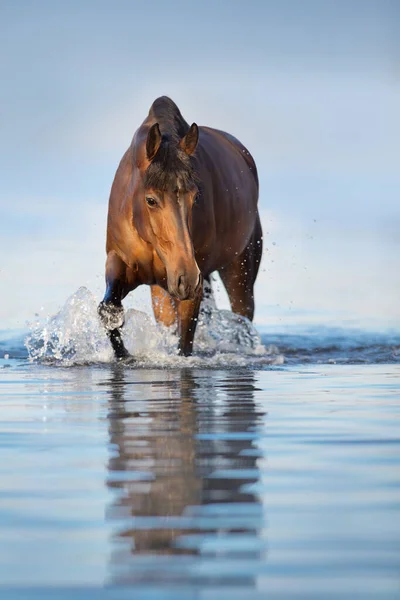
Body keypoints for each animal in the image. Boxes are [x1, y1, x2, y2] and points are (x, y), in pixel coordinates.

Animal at [98, 95, 262, 356]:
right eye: (151, 200)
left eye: (195, 197)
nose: (187, 277)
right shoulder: (119, 260)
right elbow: (109, 311)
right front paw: (124, 355)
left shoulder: (192, 287)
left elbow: (185, 344)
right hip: (164, 290)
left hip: (239, 271)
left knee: (242, 316)